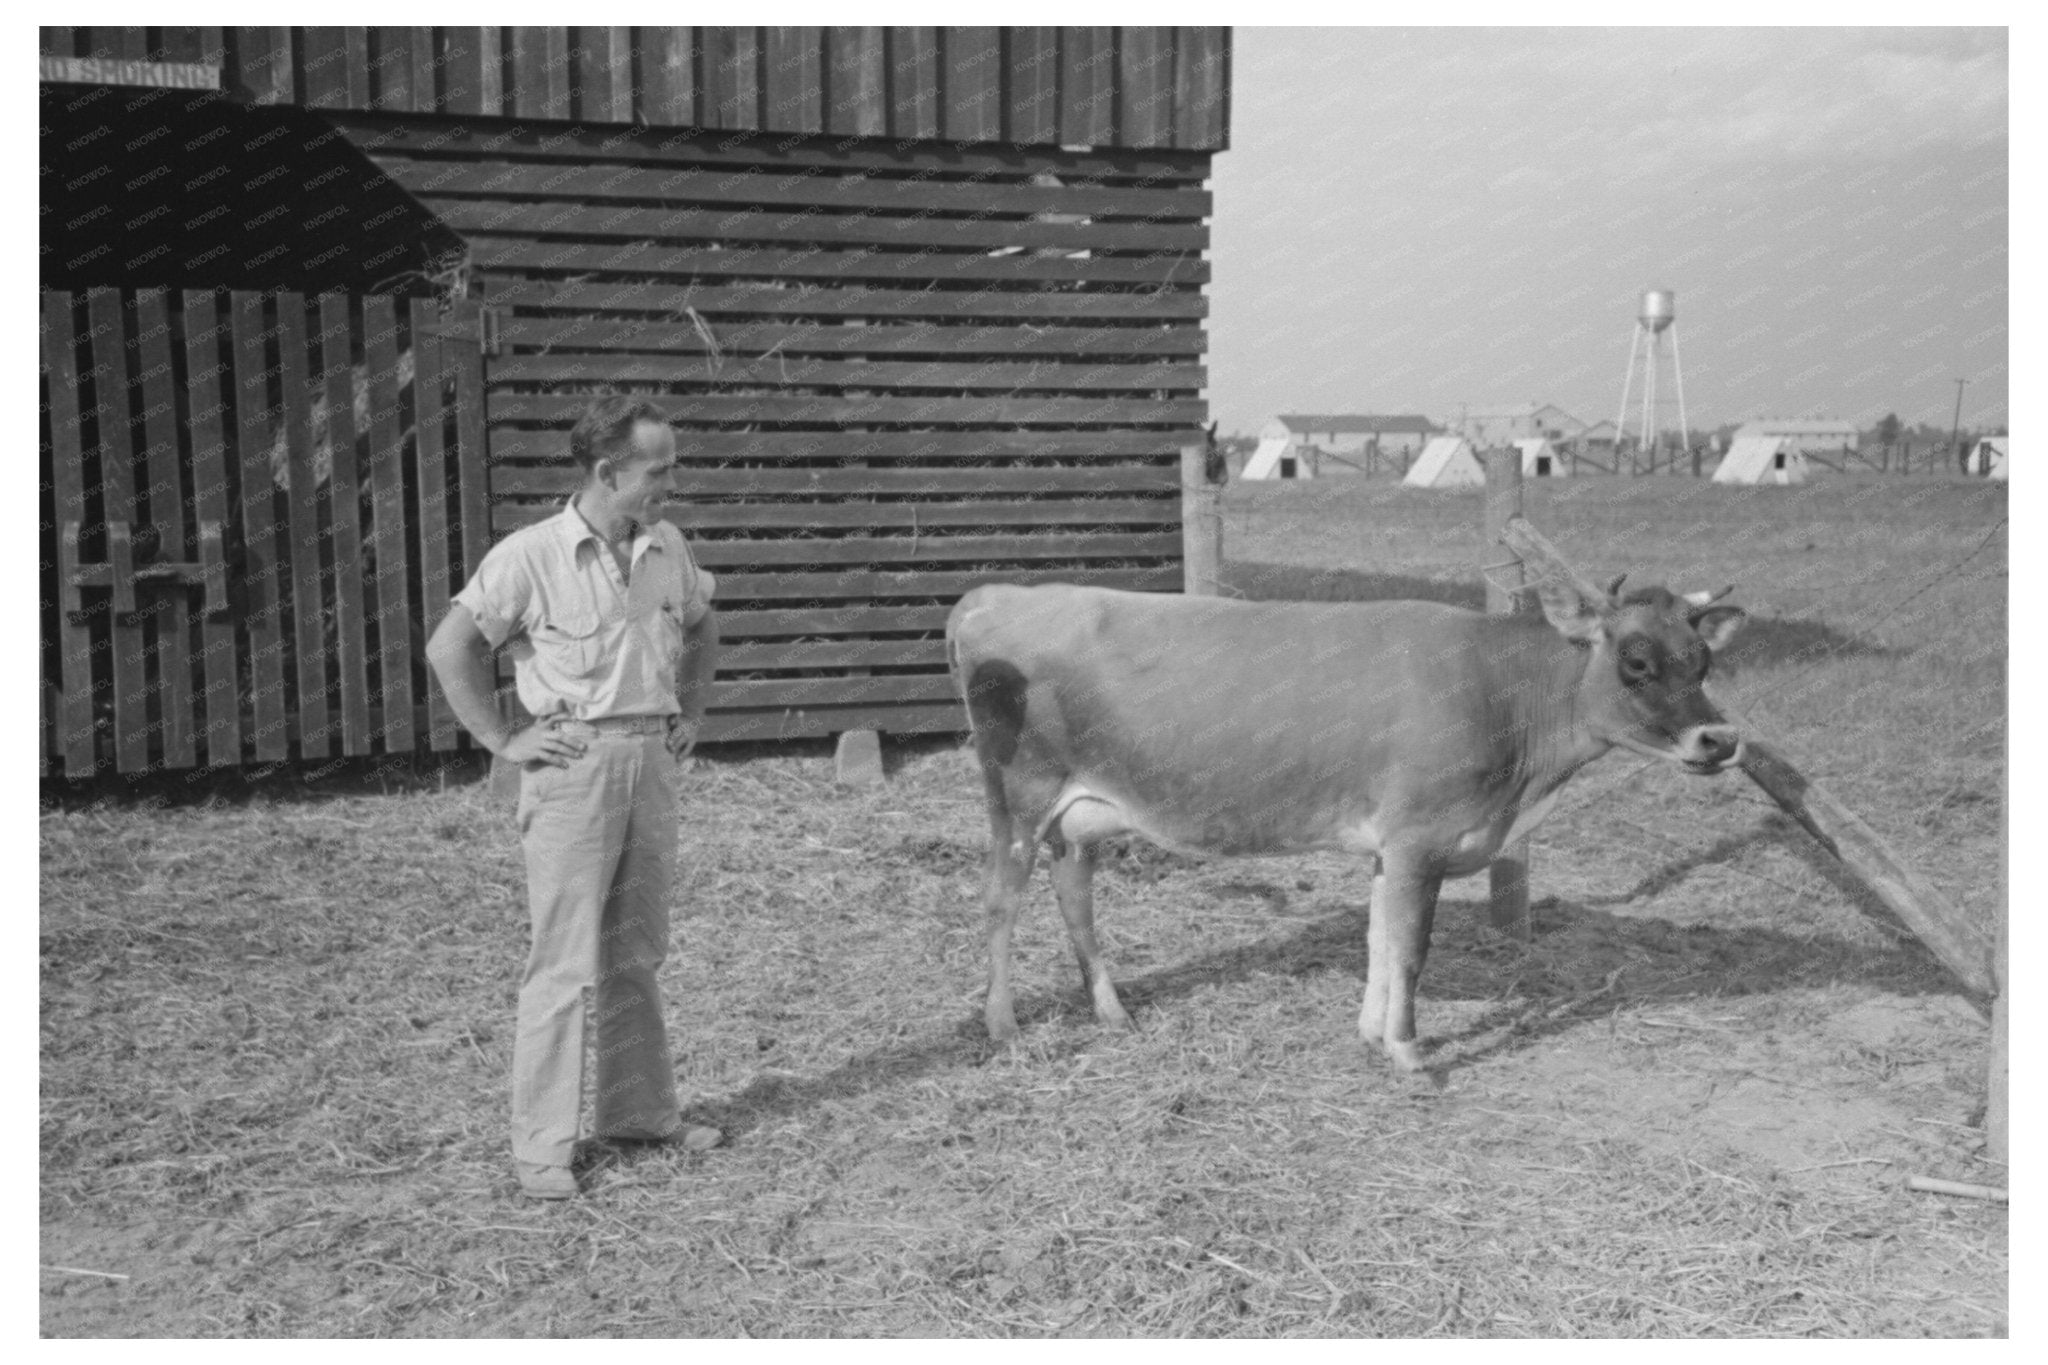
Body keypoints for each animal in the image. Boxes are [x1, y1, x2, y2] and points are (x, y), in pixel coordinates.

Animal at [942, 573, 1744, 1072]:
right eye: (1636, 661)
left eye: (1703, 660)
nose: (1721, 740)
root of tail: (993, 595)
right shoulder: (1421, 837)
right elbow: (1412, 949)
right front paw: (1409, 1051)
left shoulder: (1391, 844)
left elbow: (1378, 939)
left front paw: (1368, 1032)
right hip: (1018, 792)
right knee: (1000, 899)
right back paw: (1003, 1025)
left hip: (1078, 813)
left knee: (1073, 896)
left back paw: (1111, 1011)